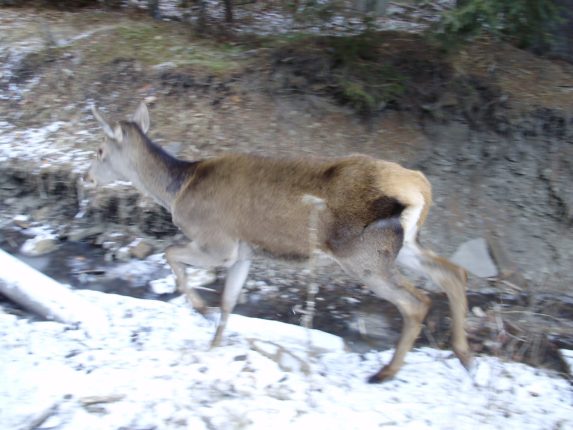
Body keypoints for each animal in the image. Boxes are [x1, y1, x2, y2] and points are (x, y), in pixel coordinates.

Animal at [88, 103, 474, 382]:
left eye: (100, 149)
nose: (88, 177)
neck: (177, 192)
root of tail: (420, 186)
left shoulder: (217, 242)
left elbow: (170, 253)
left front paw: (199, 308)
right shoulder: (244, 252)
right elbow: (229, 301)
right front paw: (214, 345)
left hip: (364, 255)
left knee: (417, 302)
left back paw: (386, 372)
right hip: (404, 244)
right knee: (453, 273)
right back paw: (464, 354)